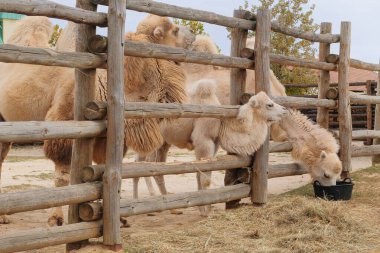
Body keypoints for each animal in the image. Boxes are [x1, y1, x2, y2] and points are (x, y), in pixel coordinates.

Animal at [0, 15, 191, 225]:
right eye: (174, 30)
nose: (193, 33)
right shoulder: (64, 126)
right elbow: (62, 177)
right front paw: (56, 219)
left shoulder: (103, 139)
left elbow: (100, 172)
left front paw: (111, 216)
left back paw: (4, 217)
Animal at [135, 80, 286, 216]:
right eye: (269, 104)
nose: (285, 110)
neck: (222, 124)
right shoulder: (203, 140)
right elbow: (205, 178)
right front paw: (206, 211)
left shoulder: (215, 144)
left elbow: (202, 173)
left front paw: (203, 209)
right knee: (142, 164)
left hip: (163, 142)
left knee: (151, 165)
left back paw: (170, 208)